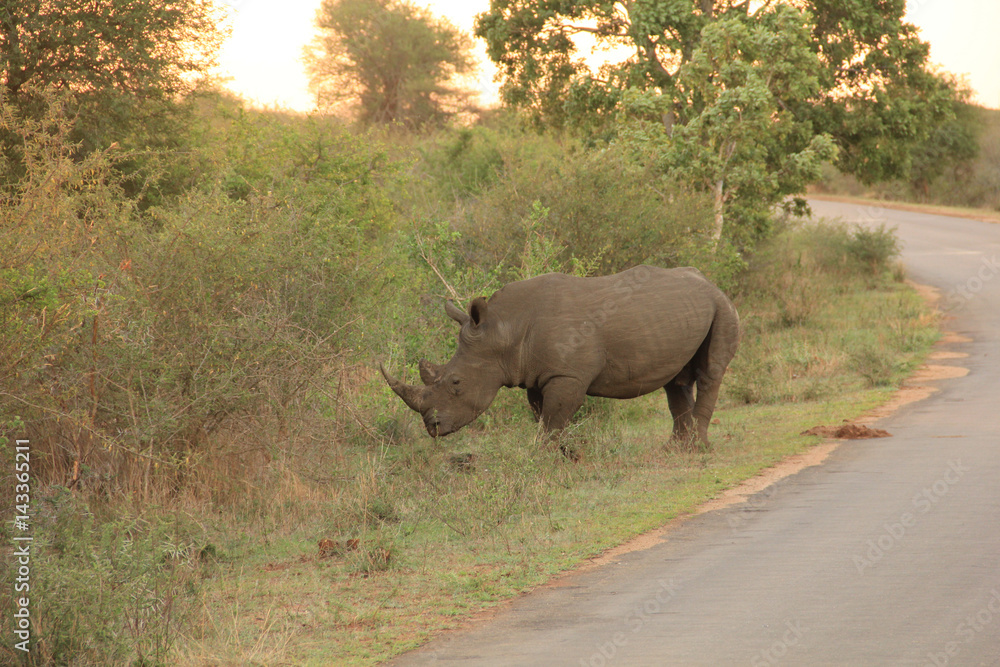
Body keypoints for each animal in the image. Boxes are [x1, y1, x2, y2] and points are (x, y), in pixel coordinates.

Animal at [382, 265, 740, 445]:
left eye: (456, 382)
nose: (432, 427)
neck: (504, 329)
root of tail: (710, 282)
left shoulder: (567, 375)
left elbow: (553, 421)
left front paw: (546, 462)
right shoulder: (537, 376)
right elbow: (545, 419)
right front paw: (566, 458)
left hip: (721, 306)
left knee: (709, 373)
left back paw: (696, 450)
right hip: (685, 312)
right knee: (676, 381)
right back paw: (676, 450)